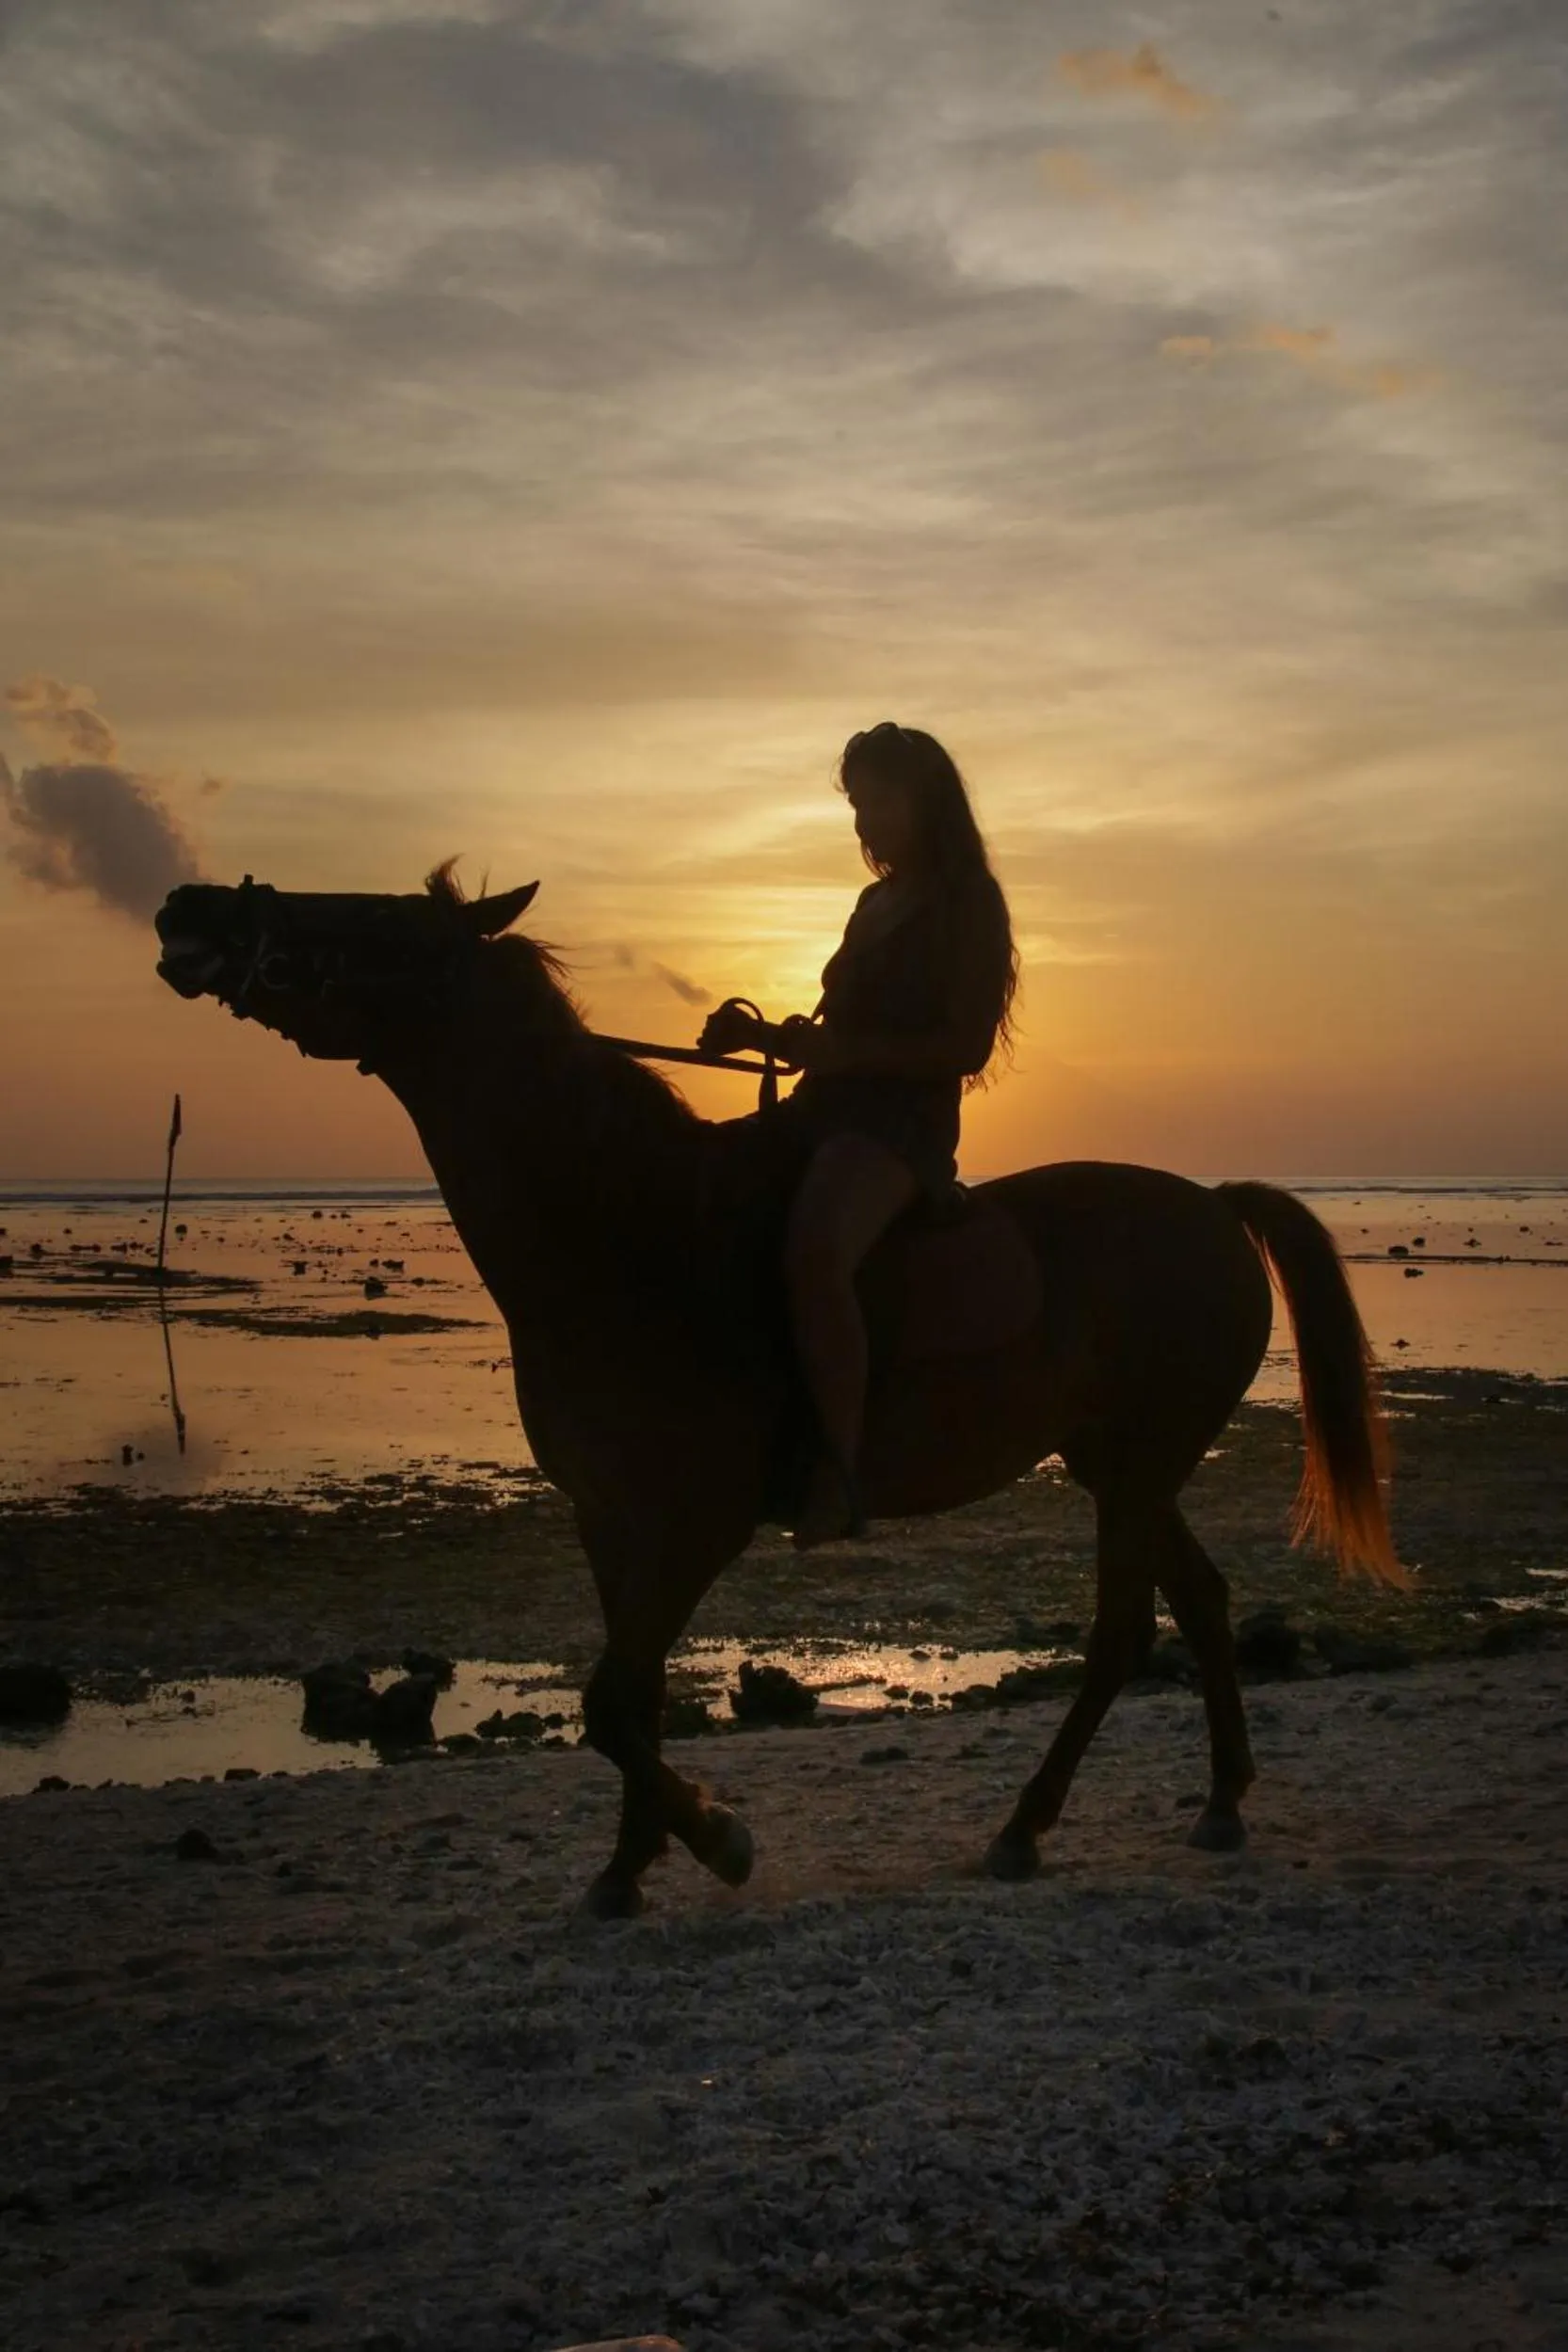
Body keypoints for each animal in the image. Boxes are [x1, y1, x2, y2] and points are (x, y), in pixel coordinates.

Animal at [153, 867, 1403, 1917]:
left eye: (368, 920)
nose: (190, 907)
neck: (631, 1234)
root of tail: (1212, 1205)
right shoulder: (609, 1520)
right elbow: (633, 1696)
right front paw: (626, 1868)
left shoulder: (693, 1522)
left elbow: (610, 1704)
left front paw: (717, 1841)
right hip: (1119, 1466)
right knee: (1199, 1600)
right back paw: (1220, 1802)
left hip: (1135, 1471)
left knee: (1121, 1634)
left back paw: (1025, 1828)